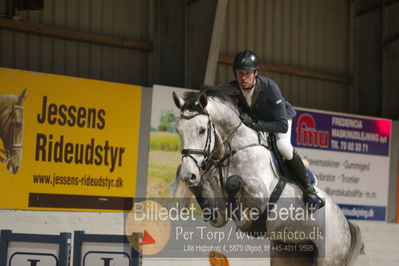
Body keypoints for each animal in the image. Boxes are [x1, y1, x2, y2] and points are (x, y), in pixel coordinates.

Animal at [173, 86, 364, 264]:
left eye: (202, 130)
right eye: (179, 131)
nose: (188, 175)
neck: (234, 149)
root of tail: (345, 223)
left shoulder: (260, 197)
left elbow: (233, 183)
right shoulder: (219, 214)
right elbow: (210, 203)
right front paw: (195, 185)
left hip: (330, 256)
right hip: (288, 251)